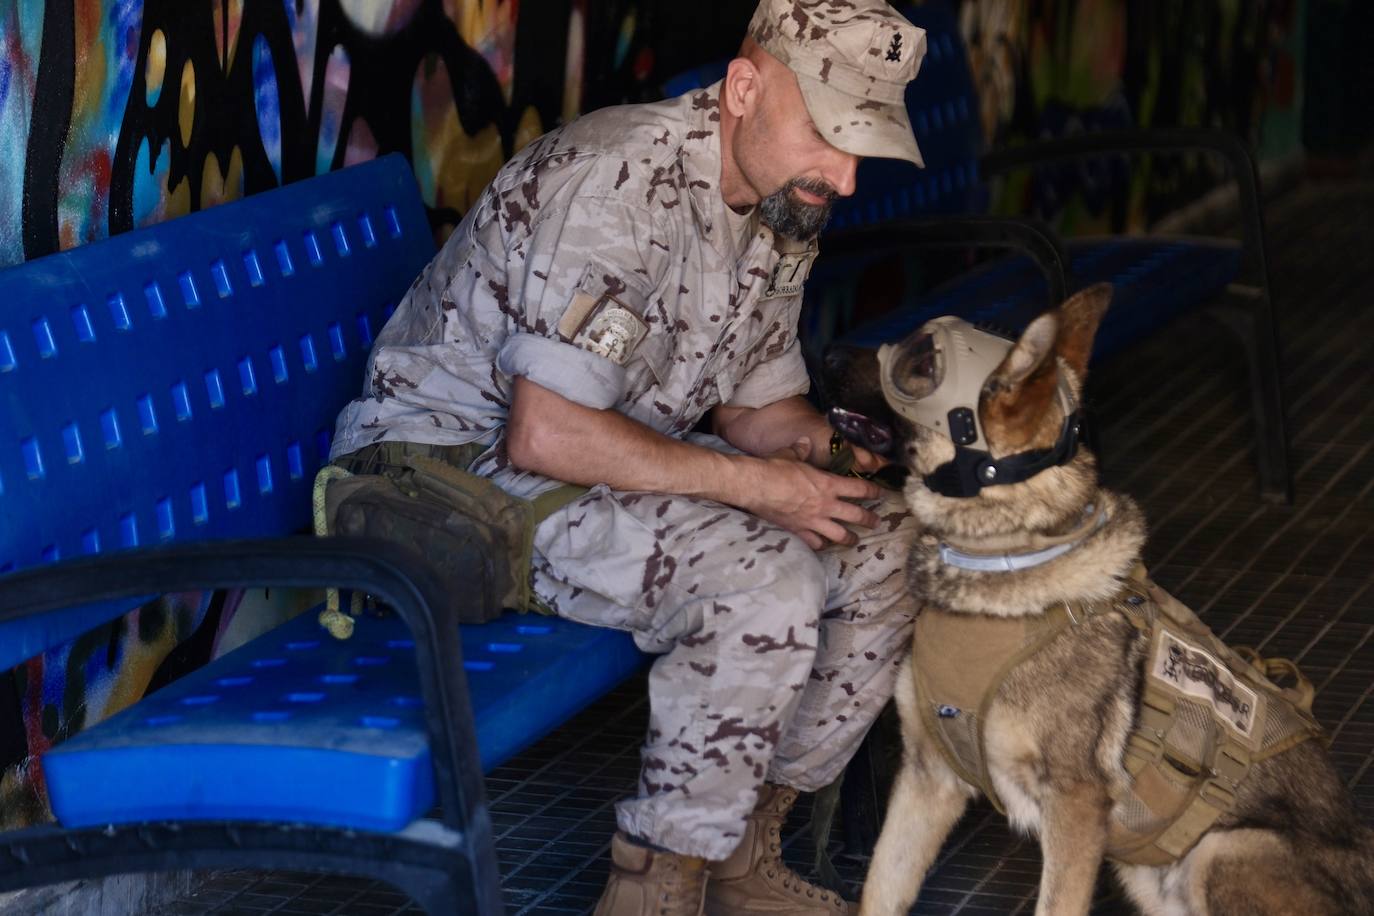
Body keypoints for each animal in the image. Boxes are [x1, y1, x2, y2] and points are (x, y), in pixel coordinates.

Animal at [818, 282, 1368, 911]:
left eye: (920, 363)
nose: (825, 353)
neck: (1001, 557)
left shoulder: (1075, 806)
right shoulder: (927, 780)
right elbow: (880, 889)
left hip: (1220, 850)